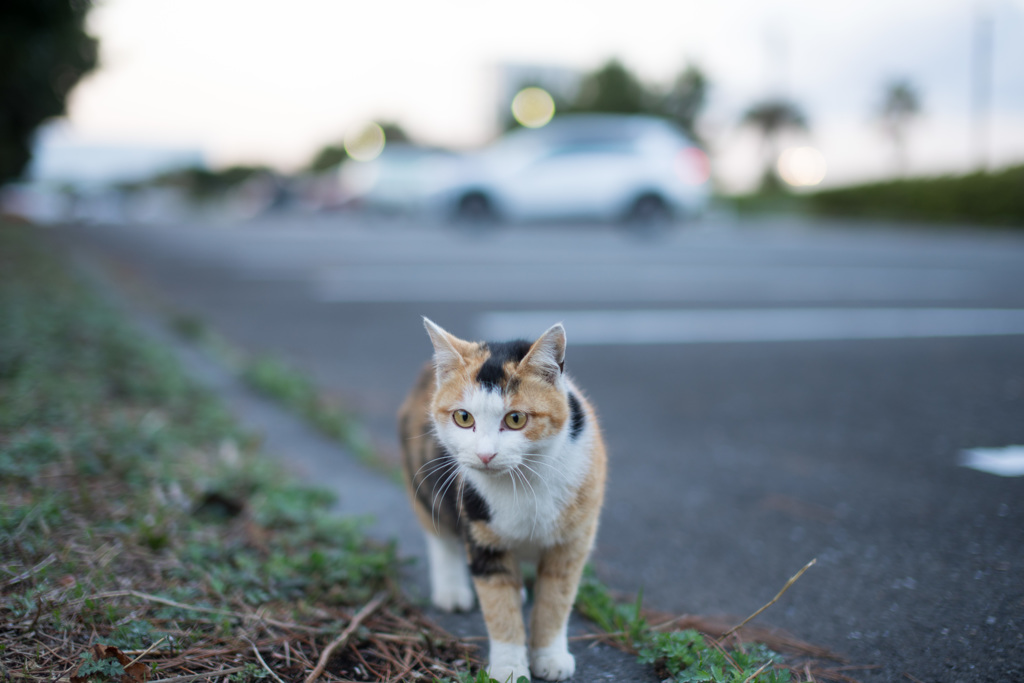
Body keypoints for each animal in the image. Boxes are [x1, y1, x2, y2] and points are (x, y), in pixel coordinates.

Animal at [397, 321, 606, 683]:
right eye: (463, 417)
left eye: (516, 419)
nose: (485, 454)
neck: (521, 482)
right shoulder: (481, 535)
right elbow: (497, 602)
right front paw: (510, 668)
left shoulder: (573, 540)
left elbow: (556, 599)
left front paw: (550, 658)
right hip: (424, 480)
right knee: (440, 536)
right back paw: (452, 592)